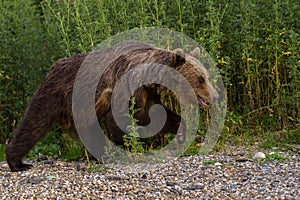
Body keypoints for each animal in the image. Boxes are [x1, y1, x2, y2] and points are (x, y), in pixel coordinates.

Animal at [5, 41, 218, 171]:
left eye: (206, 76)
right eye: (201, 78)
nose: (215, 96)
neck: (149, 78)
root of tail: (56, 64)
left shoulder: (147, 94)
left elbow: (154, 116)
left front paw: (181, 131)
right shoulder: (125, 87)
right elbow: (122, 120)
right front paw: (128, 149)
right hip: (56, 93)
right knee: (35, 122)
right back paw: (17, 162)